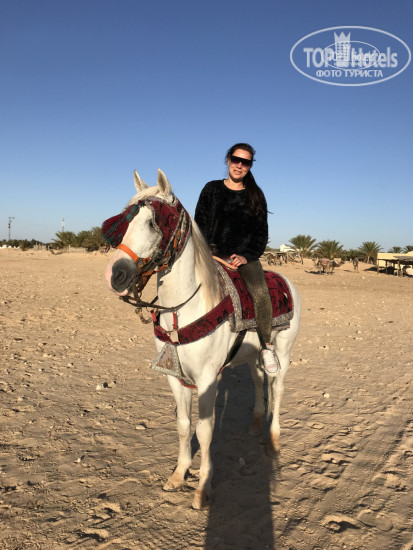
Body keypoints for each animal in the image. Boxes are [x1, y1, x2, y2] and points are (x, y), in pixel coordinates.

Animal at [103, 169, 301, 509]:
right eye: (126, 221)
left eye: (154, 222)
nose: (116, 275)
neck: (183, 308)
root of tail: (287, 281)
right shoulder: (175, 376)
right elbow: (184, 425)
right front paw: (178, 475)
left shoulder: (208, 378)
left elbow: (206, 431)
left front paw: (203, 489)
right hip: (253, 355)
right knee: (259, 380)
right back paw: (254, 426)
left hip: (284, 354)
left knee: (277, 389)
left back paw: (273, 441)